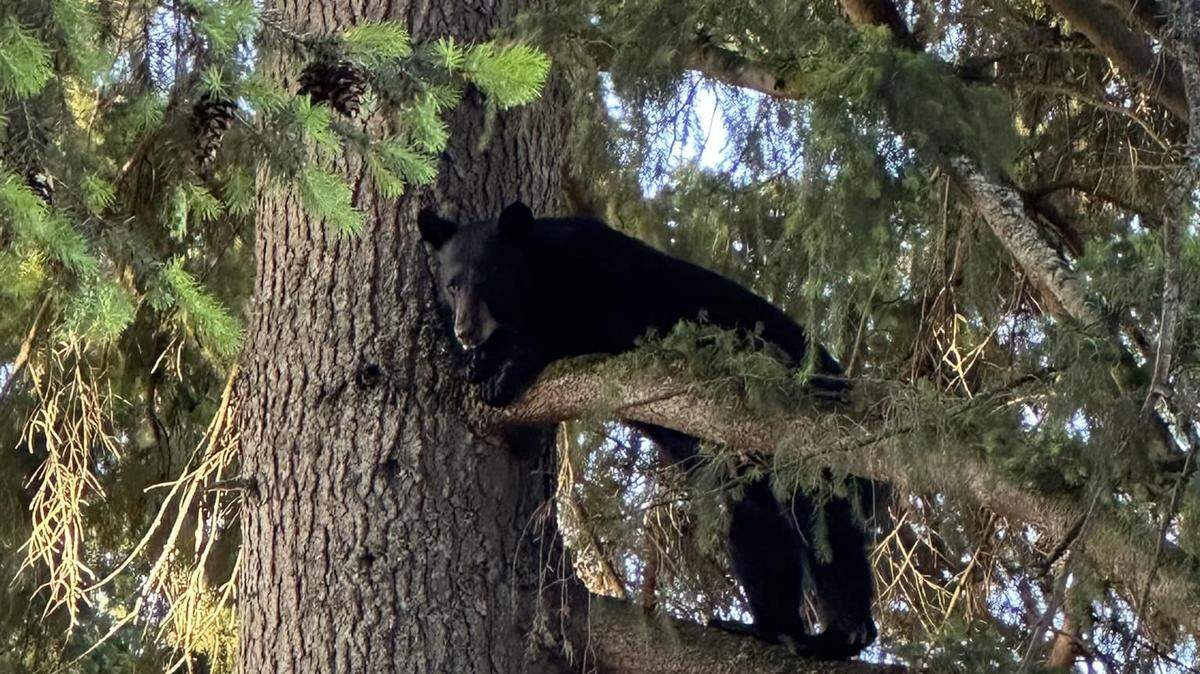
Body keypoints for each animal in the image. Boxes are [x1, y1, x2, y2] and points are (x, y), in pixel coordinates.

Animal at [417, 200, 877, 660]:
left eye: (488, 279)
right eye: (452, 284)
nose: (465, 330)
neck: (541, 273)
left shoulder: (606, 283)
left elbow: (568, 330)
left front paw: (504, 366)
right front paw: (480, 359)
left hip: (809, 435)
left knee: (827, 525)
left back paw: (841, 634)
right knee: (755, 525)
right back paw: (765, 627)